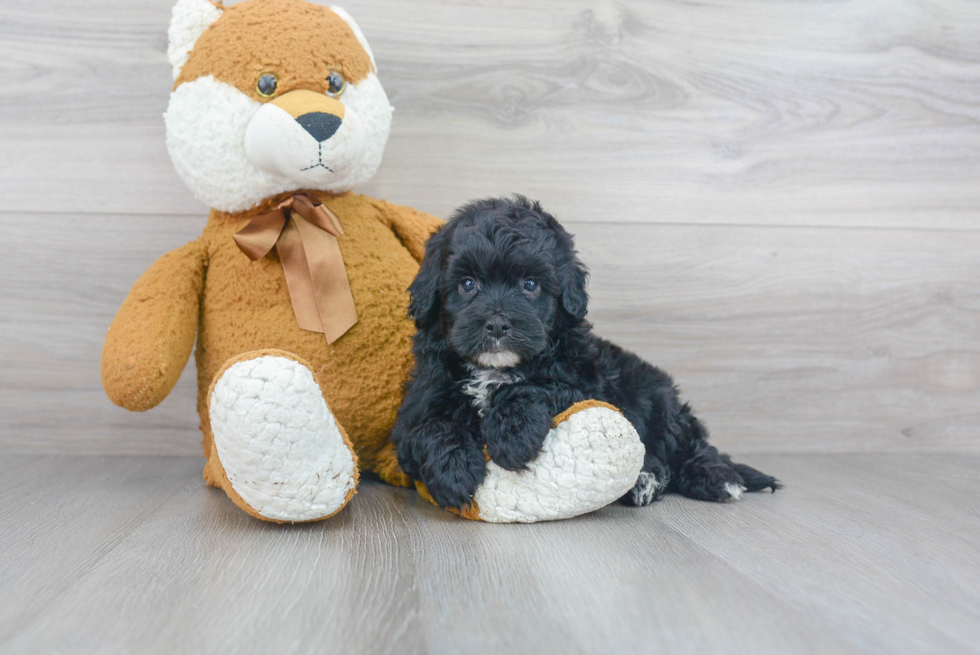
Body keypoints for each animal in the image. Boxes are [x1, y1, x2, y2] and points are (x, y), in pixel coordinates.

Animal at [392, 196, 780, 512]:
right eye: (467, 285)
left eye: (530, 285)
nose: (498, 324)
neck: (494, 371)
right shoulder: (416, 407)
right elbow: (430, 426)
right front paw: (454, 473)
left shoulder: (584, 384)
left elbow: (534, 387)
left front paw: (511, 437)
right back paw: (645, 482)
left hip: (659, 400)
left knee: (690, 446)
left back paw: (716, 479)